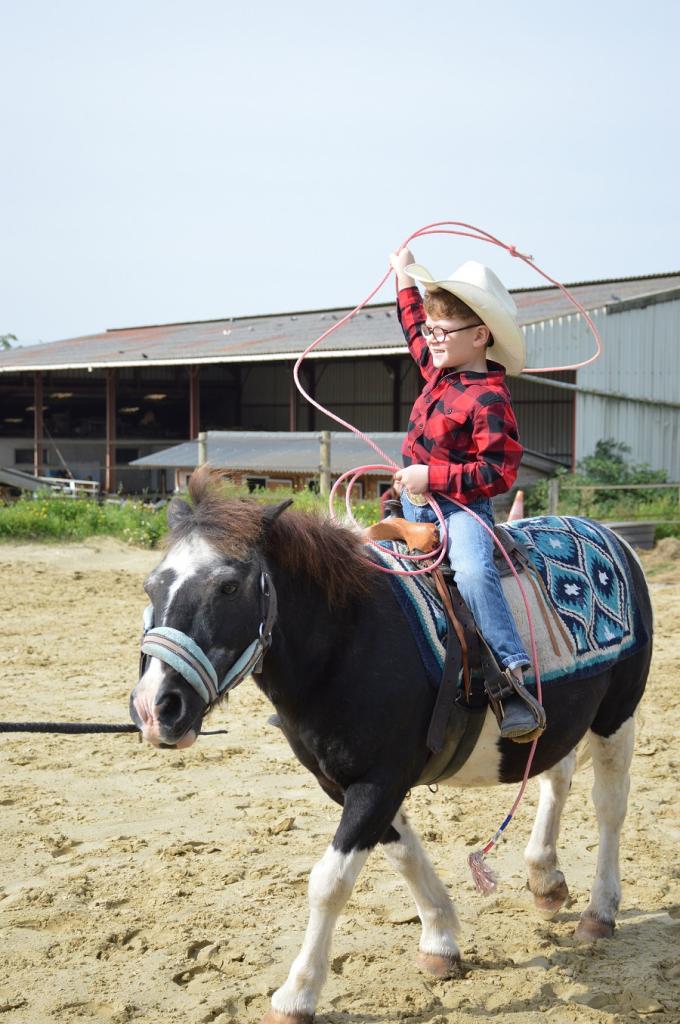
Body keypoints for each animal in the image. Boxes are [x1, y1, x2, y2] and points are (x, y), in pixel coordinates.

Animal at [129, 468, 655, 1024]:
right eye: (151, 585)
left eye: (229, 585)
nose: (155, 707)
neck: (348, 638)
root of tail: (613, 538)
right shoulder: (348, 783)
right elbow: (402, 855)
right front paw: (441, 940)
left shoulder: (378, 783)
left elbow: (330, 883)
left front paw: (298, 993)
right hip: (562, 719)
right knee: (557, 774)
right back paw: (545, 880)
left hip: (617, 714)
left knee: (610, 807)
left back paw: (600, 911)